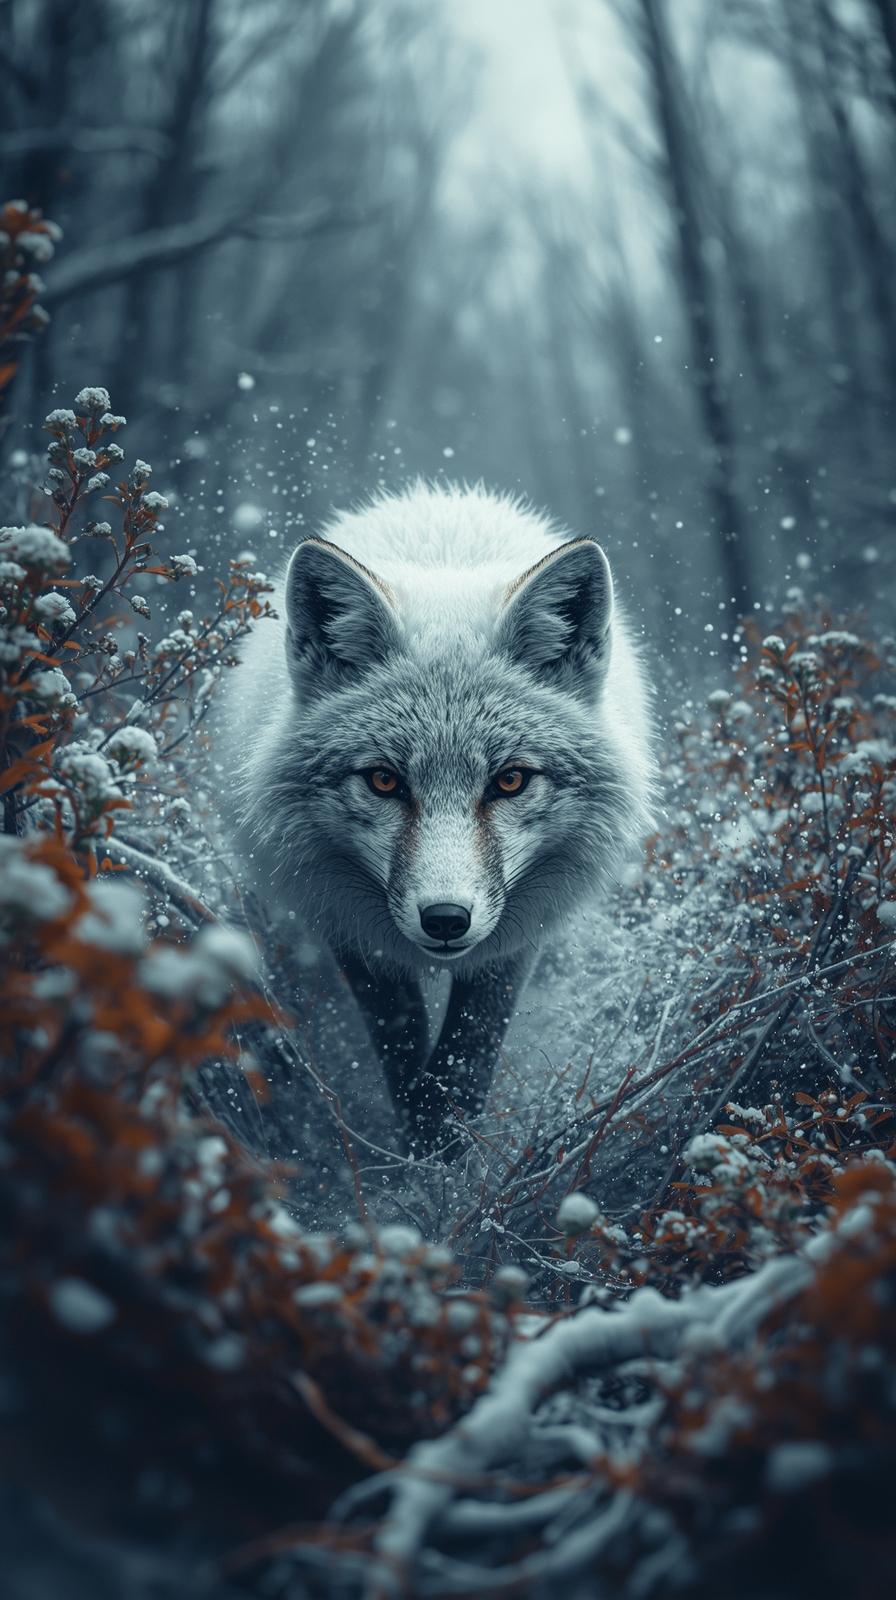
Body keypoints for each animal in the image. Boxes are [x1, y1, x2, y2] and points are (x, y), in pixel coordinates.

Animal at [223, 482, 653, 1154]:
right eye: (384, 780)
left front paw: (449, 1160)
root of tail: (440, 496)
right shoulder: (346, 925)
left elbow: (467, 1060)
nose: (446, 919)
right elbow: (403, 1054)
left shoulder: (517, 934)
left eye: (509, 781)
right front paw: (417, 1160)